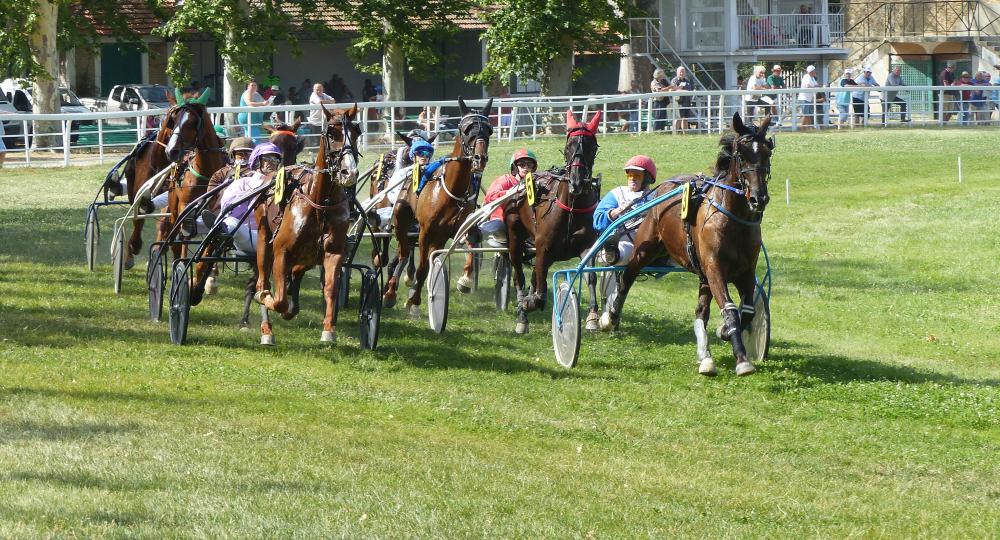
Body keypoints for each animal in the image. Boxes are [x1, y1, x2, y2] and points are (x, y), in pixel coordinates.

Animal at [252, 103, 362, 344]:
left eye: (357, 133)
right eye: (331, 133)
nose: (349, 172)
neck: (320, 203)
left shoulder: (333, 252)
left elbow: (330, 288)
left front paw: (329, 329)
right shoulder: (281, 252)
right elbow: (278, 299)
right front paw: (270, 299)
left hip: (308, 255)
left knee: (297, 271)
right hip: (264, 238)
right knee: (262, 281)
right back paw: (266, 328)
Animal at [382, 97, 492, 310]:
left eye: (488, 130)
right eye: (467, 129)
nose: (479, 158)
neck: (452, 191)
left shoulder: (458, 228)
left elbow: (471, 242)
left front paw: (465, 280)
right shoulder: (425, 231)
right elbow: (422, 267)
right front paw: (414, 300)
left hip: (438, 236)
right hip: (402, 221)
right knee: (403, 252)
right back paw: (390, 291)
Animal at [508, 109, 600, 334]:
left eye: (592, 147)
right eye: (568, 147)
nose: (577, 181)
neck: (572, 208)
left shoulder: (587, 245)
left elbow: (590, 277)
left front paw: (593, 316)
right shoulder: (543, 248)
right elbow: (539, 295)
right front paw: (528, 304)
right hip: (514, 237)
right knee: (519, 276)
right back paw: (522, 315)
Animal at [600, 112, 772, 378]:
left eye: (767, 153)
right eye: (741, 154)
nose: (758, 198)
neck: (733, 220)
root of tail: (666, 186)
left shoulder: (745, 272)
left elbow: (747, 312)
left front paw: (724, 332)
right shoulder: (715, 270)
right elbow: (731, 311)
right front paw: (742, 360)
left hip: (701, 274)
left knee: (701, 312)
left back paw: (706, 357)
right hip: (645, 248)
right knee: (627, 277)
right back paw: (610, 316)